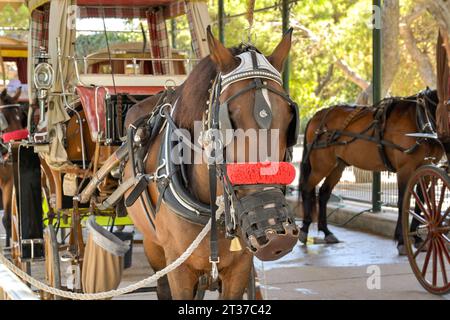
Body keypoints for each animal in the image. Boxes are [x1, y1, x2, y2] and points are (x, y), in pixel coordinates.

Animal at [124, 28, 298, 300]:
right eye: (230, 119)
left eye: (290, 118)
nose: (276, 234)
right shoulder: (178, 268)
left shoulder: (240, 266)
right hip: (154, 246)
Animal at [298, 89, 442, 254]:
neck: (419, 116)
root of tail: (318, 115)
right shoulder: (405, 169)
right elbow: (403, 202)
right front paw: (401, 241)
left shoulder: (427, 167)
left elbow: (421, 201)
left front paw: (417, 239)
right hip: (321, 166)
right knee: (307, 189)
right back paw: (304, 229)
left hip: (337, 166)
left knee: (323, 193)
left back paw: (327, 232)